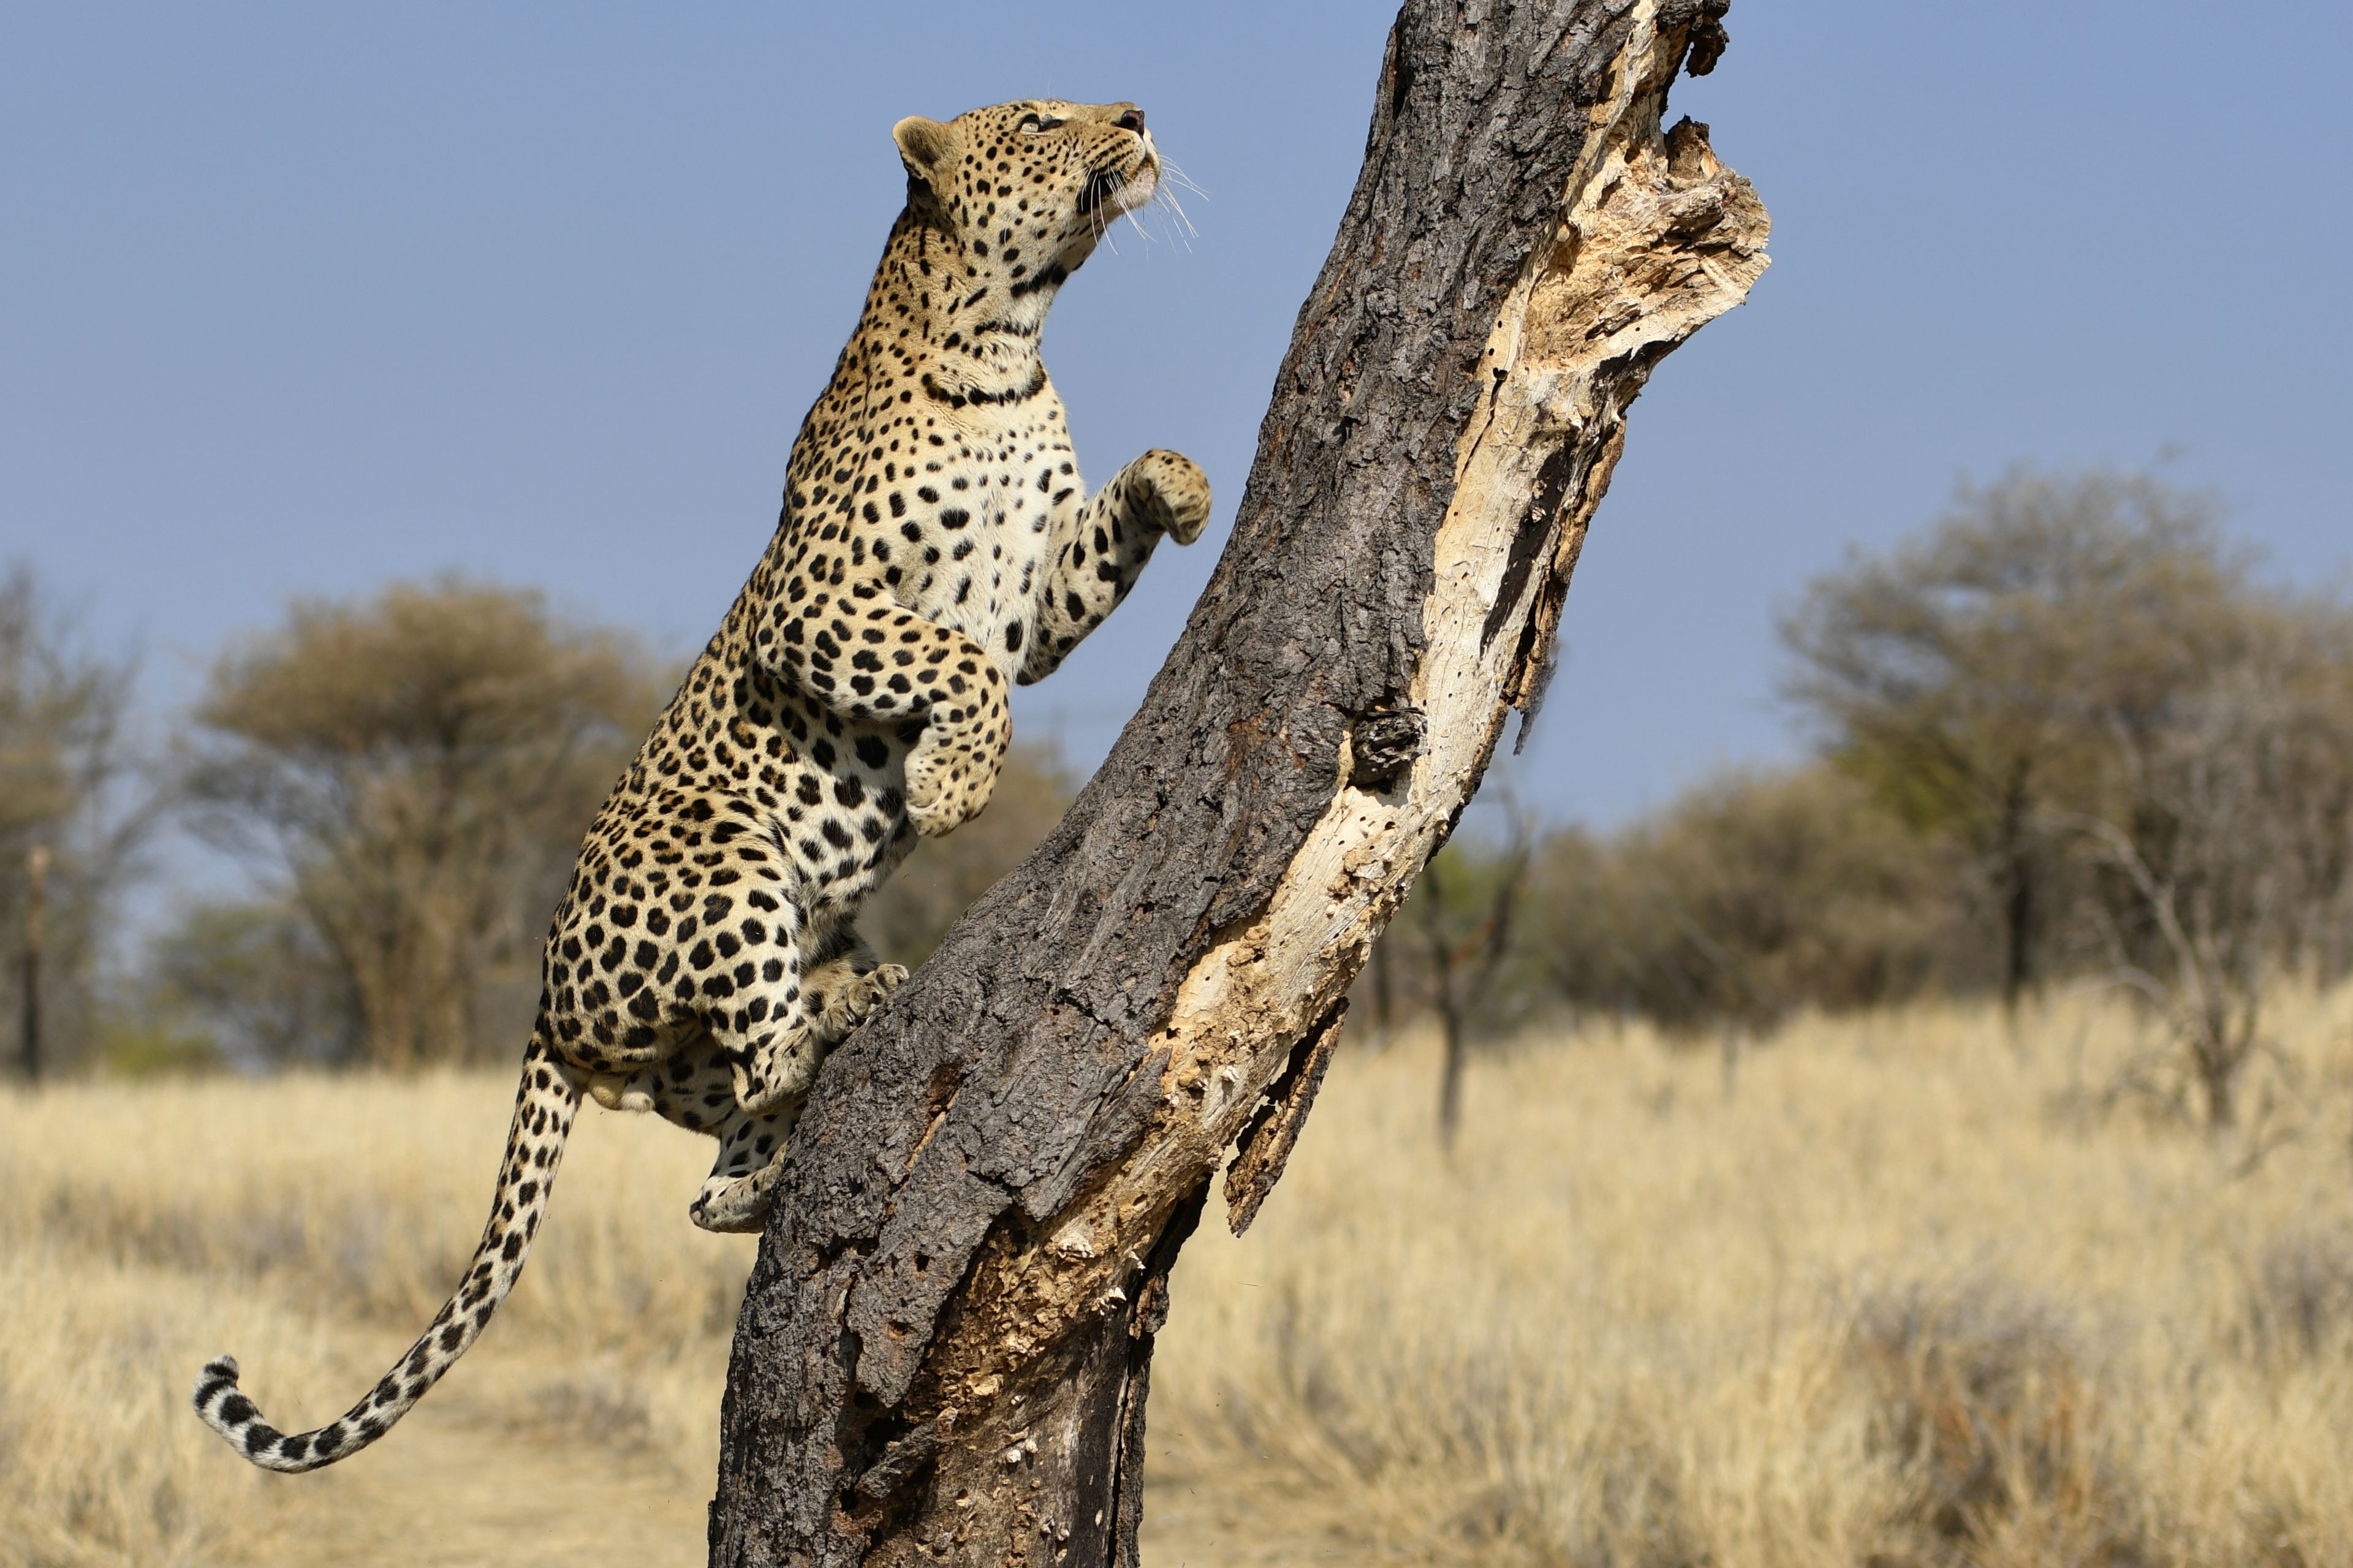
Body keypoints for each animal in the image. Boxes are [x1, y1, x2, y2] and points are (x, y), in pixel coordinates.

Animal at [193, 97, 1209, 1474]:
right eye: (1044, 119)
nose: (1139, 114)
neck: (1008, 345)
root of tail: (546, 1006)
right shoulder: (818, 601)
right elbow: (952, 666)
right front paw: (949, 784)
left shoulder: (1034, 596)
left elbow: (1087, 552)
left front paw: (1180, 480)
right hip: (724, 853)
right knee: (768, 1055)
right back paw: (844, 1008)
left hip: (712, 1042)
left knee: (717, 1167)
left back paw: (795, 1124)